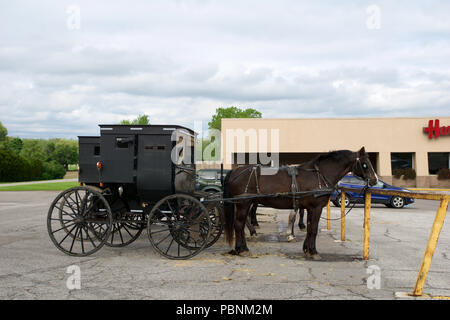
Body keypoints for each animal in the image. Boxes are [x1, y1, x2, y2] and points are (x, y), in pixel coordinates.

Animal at [223, 148, 378, 260]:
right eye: (365, 164)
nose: (375, 180)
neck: (319, 175)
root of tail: (235, 170)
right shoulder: (316, 208)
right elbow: (314, 229)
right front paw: (314, 252)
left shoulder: (310, 208)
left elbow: (309, 228)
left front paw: (307, 250)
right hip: (243, 203)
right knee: (238, 225)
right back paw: (243, 249)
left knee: (241, 224)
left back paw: (240, 248)